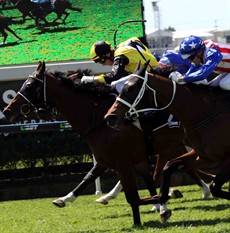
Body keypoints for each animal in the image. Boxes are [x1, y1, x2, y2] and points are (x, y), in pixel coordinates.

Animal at [2, 62, 214, 226]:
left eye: (29, 85)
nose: (7, 110)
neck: (98, 116)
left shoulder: (122, 158)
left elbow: (135, 192)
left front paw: (160, 205)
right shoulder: (114, 158)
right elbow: (89, 176)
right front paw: (64, 199)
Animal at [104, 61, 230, 223]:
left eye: (131, 88)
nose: (110, 117)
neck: (205, 113)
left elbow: (215, 187)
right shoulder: (204, 156)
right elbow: (169, 166)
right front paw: (164, 203)